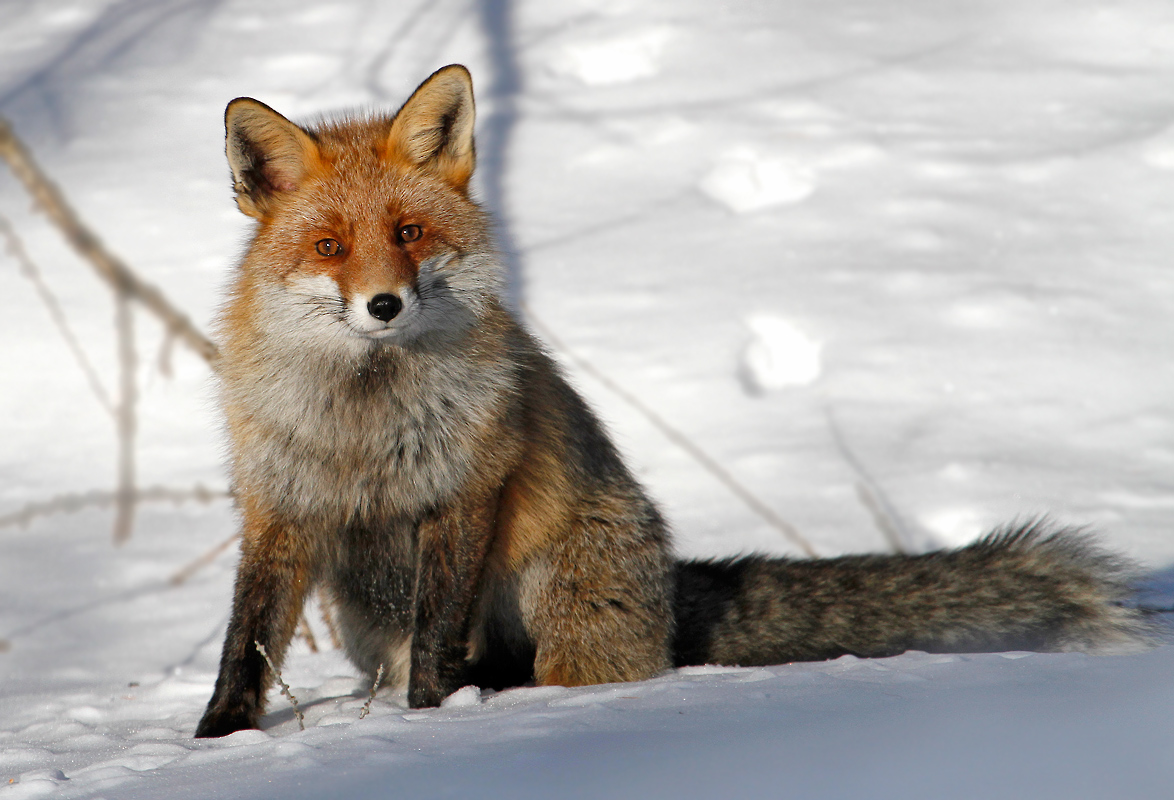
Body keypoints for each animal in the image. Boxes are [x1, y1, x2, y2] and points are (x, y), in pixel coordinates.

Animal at [195, 64, 1151, 738]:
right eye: (330, 246)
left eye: (409, 232)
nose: (385, 305)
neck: (362, 421)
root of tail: (670, 582)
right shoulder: (278, 503)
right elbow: (245, 640)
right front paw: (218, 740)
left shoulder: (464, 492)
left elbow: (436, 637)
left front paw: (429, 721)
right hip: (367, 622)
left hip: (556, 601)